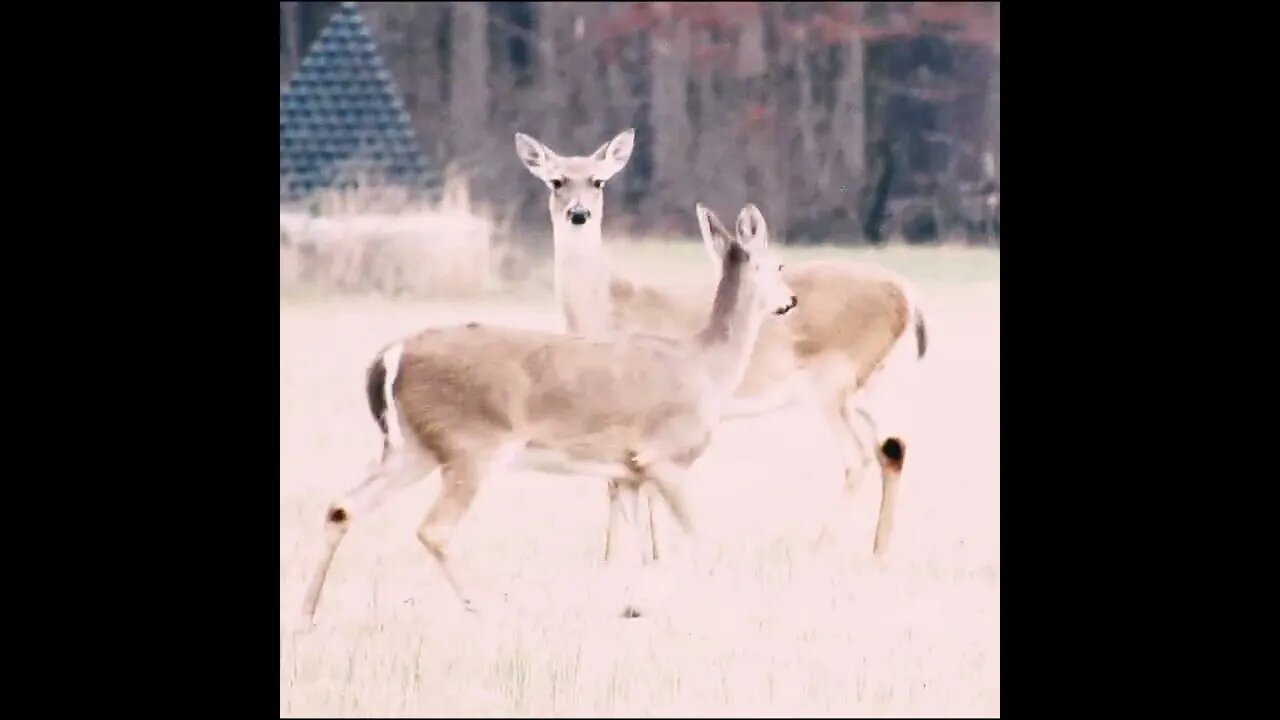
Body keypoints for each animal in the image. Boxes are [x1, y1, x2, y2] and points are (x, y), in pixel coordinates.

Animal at [299, 203, 798, 624]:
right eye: (778, 265)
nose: (790, 301)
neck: (708, 366)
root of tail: (390, 357)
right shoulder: (665, 456)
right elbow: (698, 539)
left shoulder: (629, 472)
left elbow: (646, 550)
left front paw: (634, 605)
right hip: (470, 446)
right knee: (433, 529)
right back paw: (484, 607)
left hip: (412, 449)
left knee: (342, 507)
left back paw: (306, 615)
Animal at [513, 128, 928, 562]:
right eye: (556, 181)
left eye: (598, 181)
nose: (578, 214)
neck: (608, 307)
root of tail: (909, 295)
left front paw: (642, 557)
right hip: (870, 386)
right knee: (892, 449)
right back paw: (877, 551)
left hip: (834, 384)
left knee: (859, 456)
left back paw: (818, 548)